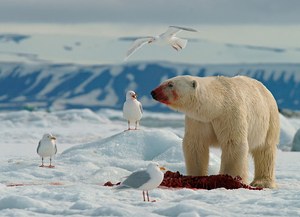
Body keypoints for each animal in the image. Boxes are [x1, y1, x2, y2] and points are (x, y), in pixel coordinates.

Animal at [151, 76, 280, 188]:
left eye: (170, 84)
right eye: (165, 81)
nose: (153, 92)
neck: (217, 106)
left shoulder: (230, 115)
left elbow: (233, 143)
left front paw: (230, 179)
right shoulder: (199, 120)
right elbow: (195, 145)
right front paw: (195, 176)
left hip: (269, 120)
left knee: (265, 151)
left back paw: (262, 182)